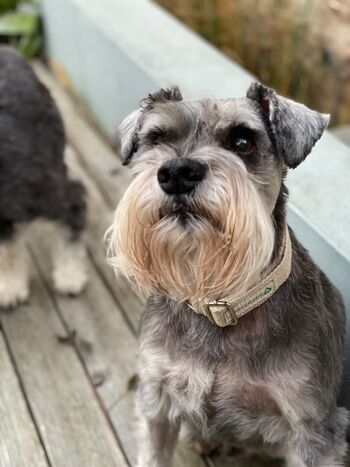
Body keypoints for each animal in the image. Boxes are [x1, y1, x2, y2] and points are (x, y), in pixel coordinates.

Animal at [107, 82, 350, 466]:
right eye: (156, 138)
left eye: (242, 141)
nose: (177, 172)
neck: (220, 302)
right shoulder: (157, 399)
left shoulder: (313, 430)